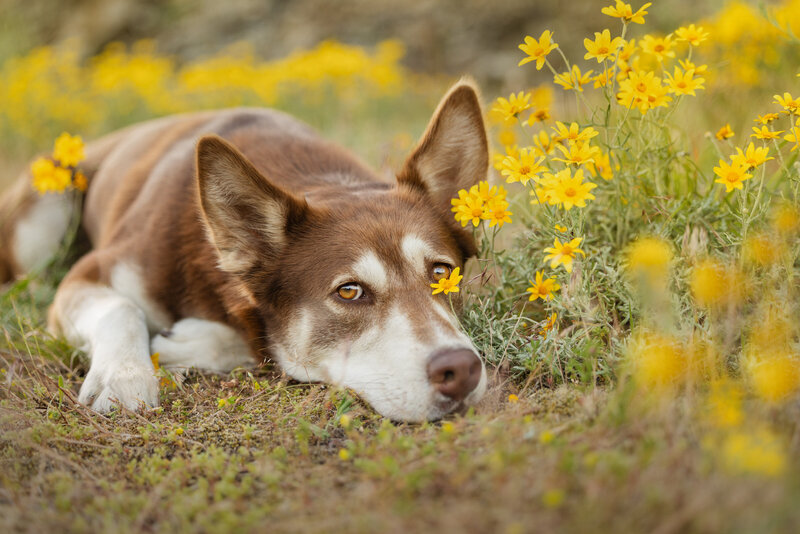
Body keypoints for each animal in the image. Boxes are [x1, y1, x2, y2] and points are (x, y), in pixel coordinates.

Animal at [0, 80, 490, 422]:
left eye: (441, 273)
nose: (462, 369)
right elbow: (122, 309)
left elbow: (256, 340)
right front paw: (123, 377)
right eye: (349, 292)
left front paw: (188, 342)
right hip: (45, 209)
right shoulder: (88, 274)